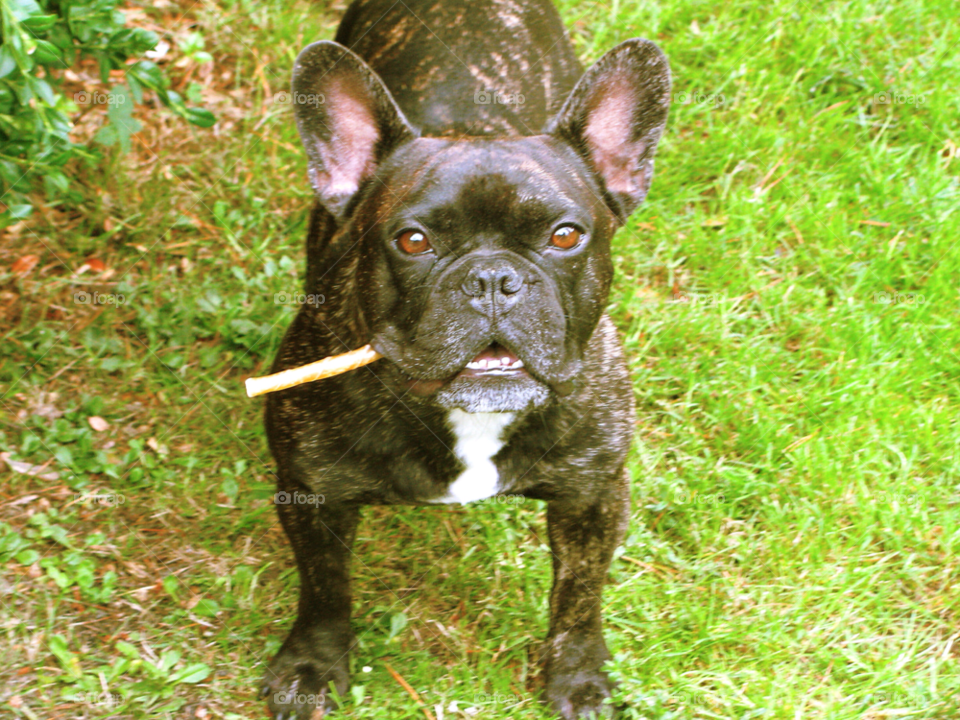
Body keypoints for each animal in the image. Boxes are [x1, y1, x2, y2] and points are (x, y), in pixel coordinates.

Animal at [258, 2, 672, 716]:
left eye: (567, 236)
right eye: (412, 241)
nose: (492, 278)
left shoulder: (593, 493)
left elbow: (580, 594)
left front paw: (576, 675)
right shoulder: (312, 492)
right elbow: (325, 587)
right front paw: (312, 665)